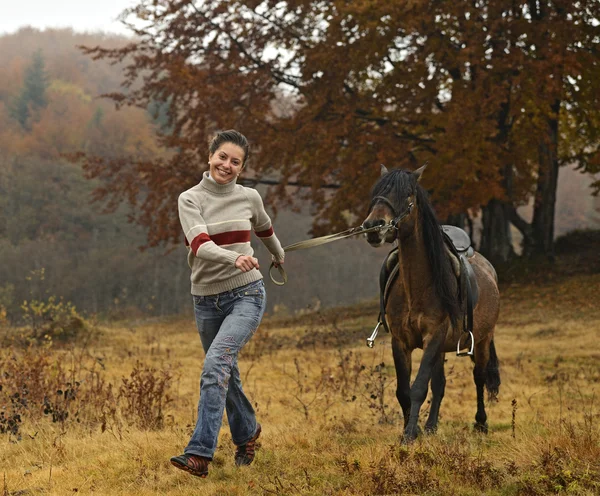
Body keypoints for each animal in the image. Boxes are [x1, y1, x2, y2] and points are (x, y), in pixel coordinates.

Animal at [364, 166, 500, 442]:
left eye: (407, 193)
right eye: (377, 191)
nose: (373, 227)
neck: (417, 287)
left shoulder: (434, 336)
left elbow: (418, 388)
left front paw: (409, 435)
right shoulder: (401, 342)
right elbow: (404, 390)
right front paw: (412, 429)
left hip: (481, 340)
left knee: (479, 377)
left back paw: (481, 423)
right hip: (442, 348)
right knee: (439, 384)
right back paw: (431, 426)